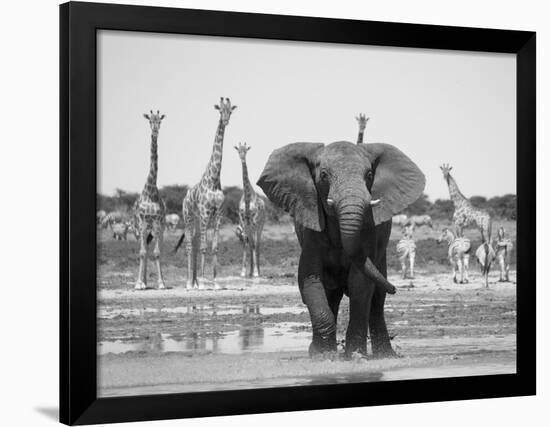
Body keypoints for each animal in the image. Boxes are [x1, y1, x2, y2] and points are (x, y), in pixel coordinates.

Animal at [177, 97, 237, 290]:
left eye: (230, 111)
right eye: (220, 110)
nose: (225, 121)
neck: (214, 178)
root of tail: (185, 198)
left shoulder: (218, 213)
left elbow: (214, 246)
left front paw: (215, 282)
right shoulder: (204, 212)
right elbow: (204, 246)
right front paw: (204, 282)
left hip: (197, 220)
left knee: (195, 245)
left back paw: (195, 281)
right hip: (188, 216)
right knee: (190, 245)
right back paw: (190, 283)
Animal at [258, 140, 426, 358]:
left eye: (369, 175)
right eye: (323, 175)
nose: (396, 289)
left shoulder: (369, 230)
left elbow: (360, 282)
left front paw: (355, 356)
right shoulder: (311, 228)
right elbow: (309, 278)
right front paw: (322, 356)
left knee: (377, 299)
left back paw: (385, 355)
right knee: (332, 294)